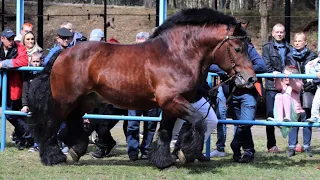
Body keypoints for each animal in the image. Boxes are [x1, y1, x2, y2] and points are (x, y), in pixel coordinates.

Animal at [28, 7, 256, 169]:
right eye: (237, 48)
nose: (250, 79)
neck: (176, 55)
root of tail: (64, 53)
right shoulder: (173, 101)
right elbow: (198, 121)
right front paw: (184, 154)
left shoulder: (171, 105)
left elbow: (164, 132)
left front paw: (164, 161)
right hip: (64, 100)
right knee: (52, 124)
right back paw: (53, 157)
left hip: (84, 100)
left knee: (73, 120)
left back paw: (75, 151)